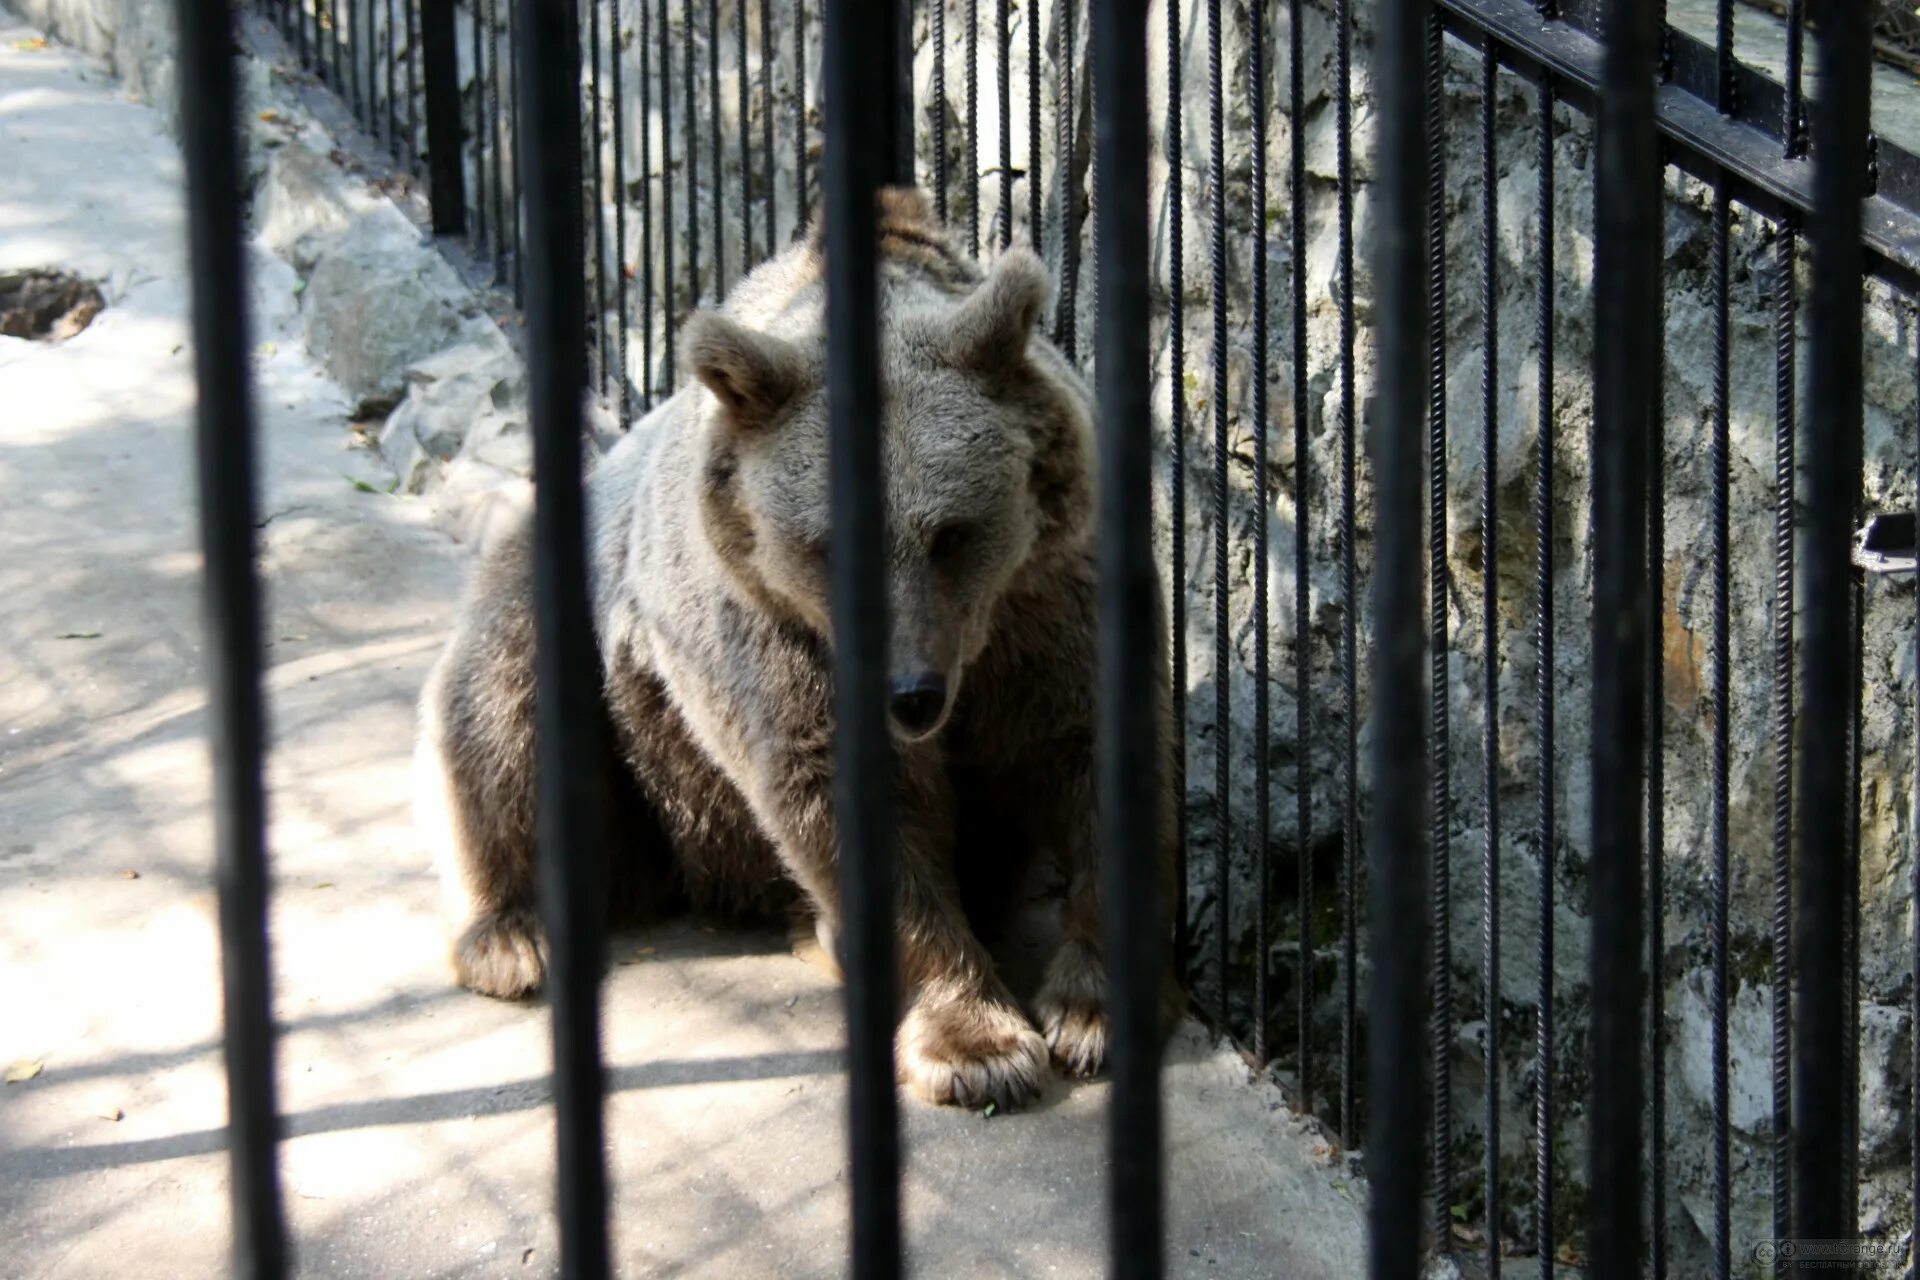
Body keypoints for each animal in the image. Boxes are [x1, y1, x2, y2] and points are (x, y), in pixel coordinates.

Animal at [414, 185, 1175, 1105]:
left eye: (952, 534)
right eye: (827, 543)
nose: (910, 696)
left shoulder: (1054, 597)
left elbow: (1094, 753)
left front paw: (1093, 1011)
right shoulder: (776, 631)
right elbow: (842, 799)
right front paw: (976, 1047)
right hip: (590, 643)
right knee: (500, 709)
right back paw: (509, 935)